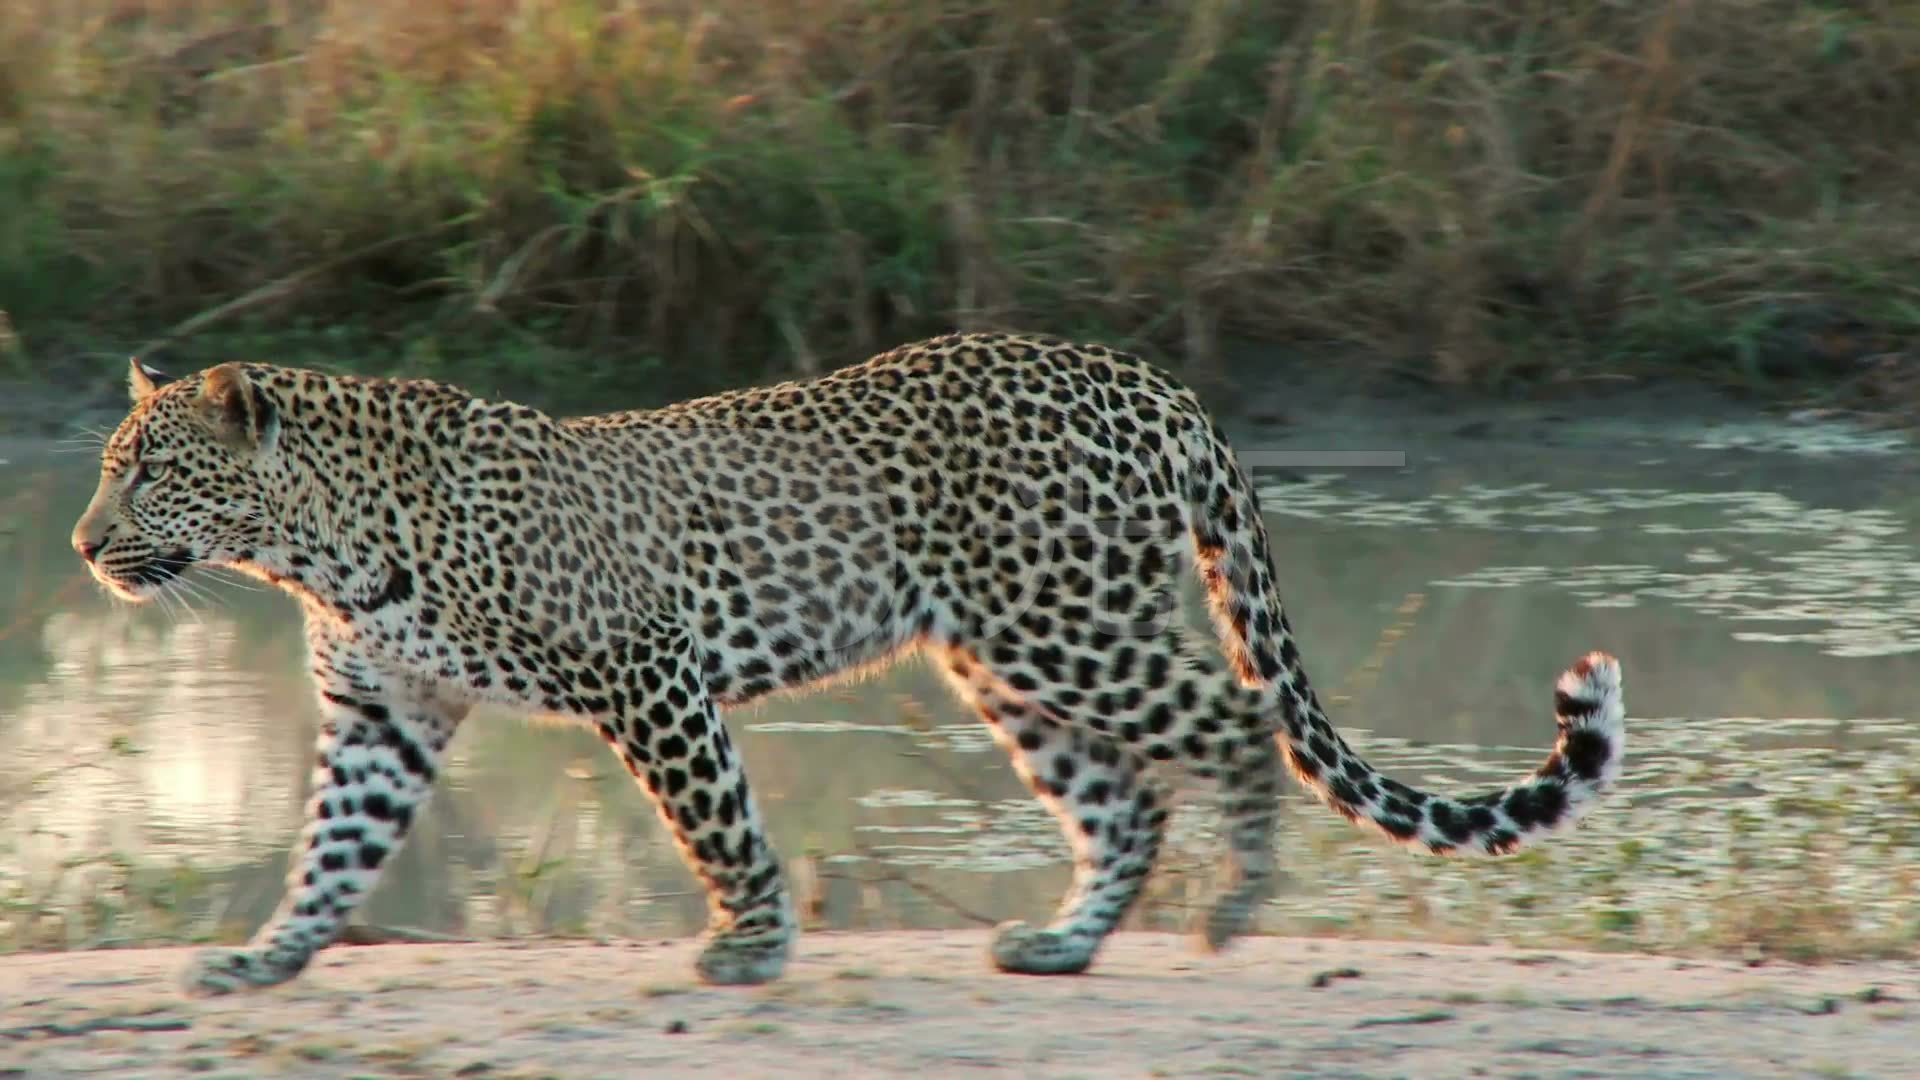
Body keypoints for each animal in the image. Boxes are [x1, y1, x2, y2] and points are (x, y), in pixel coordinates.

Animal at [71, 330, 1620, 991]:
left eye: (147, 471)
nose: (84, 546)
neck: (318, 544)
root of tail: (1150, 378)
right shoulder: (384, 715)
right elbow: (332, 850)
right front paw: (268, 957)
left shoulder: (646, 670)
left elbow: (715, 823)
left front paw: (752, 942)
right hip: (1005, 661)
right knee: (1125, 800)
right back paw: (1065, 942)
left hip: (1070, 625)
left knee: (1235, 719)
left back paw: (1235, 906)